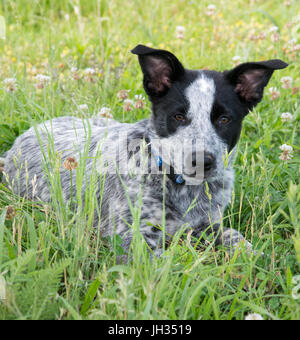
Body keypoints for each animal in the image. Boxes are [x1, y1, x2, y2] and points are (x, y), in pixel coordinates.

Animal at [2, 45, 288, 258]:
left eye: (224, 119)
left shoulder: (206, 223)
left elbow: (234, 236)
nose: (202, 161)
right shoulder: (131, 234)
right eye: (178, 116)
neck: (179, 185)